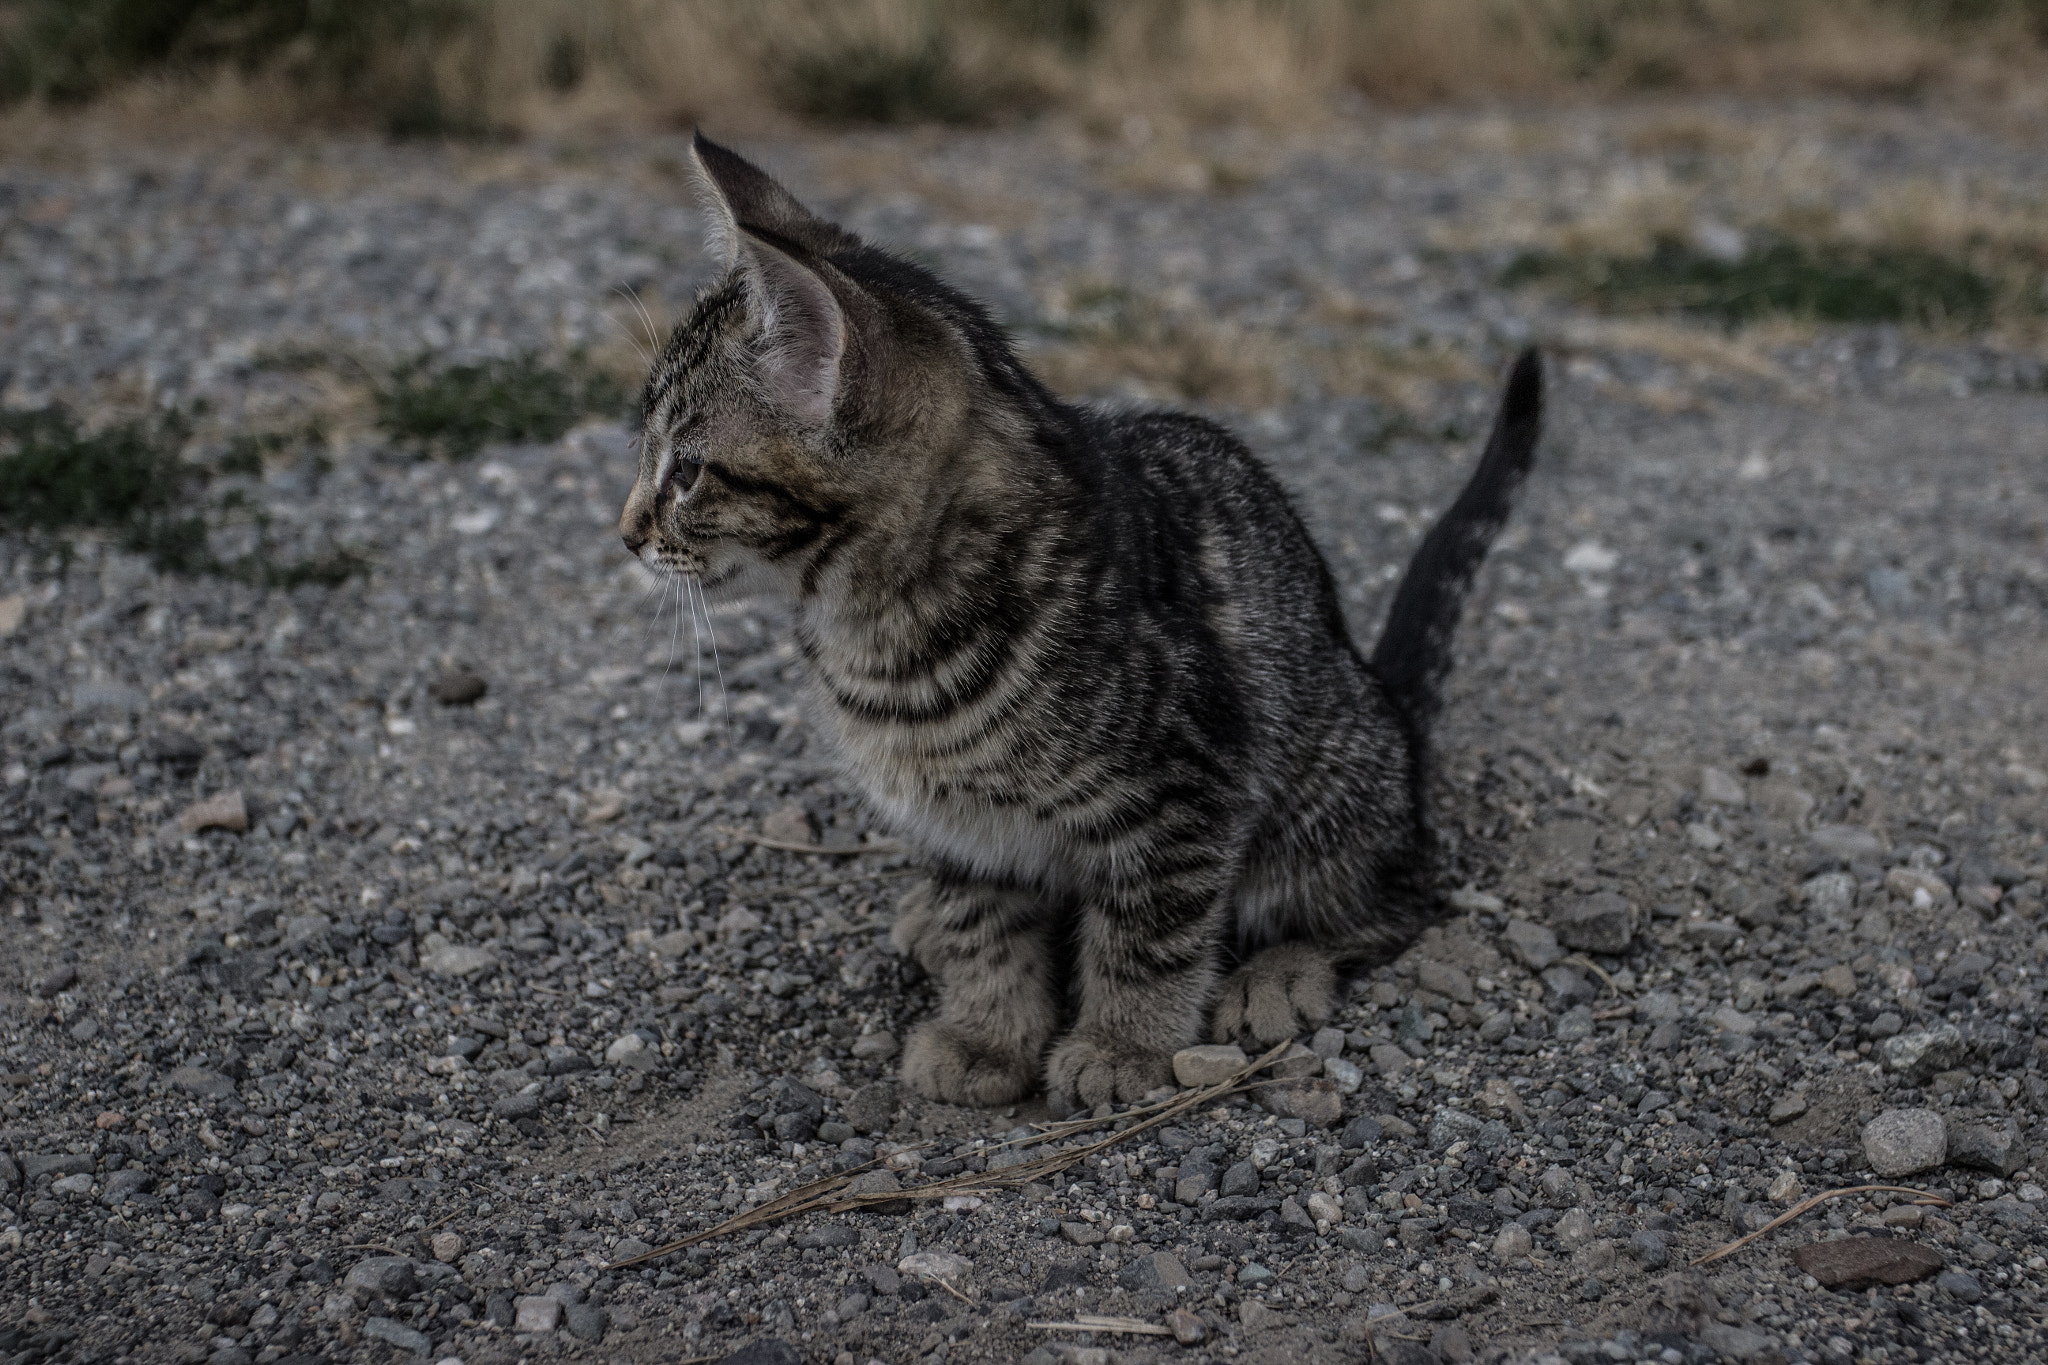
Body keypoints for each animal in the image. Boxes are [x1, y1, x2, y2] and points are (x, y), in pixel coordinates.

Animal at [622, 130, 1540, 1113]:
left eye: (687, 472)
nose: (627, 531)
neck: (878, 628)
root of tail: (1387, 704)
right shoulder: (957, 823)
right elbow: (984, 923)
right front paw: (987, 1031)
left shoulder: (1185, 787)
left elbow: (1151, 930)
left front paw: (1121, 1043)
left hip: (1328, 778)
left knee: (1392, 901)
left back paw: (1282, 970)